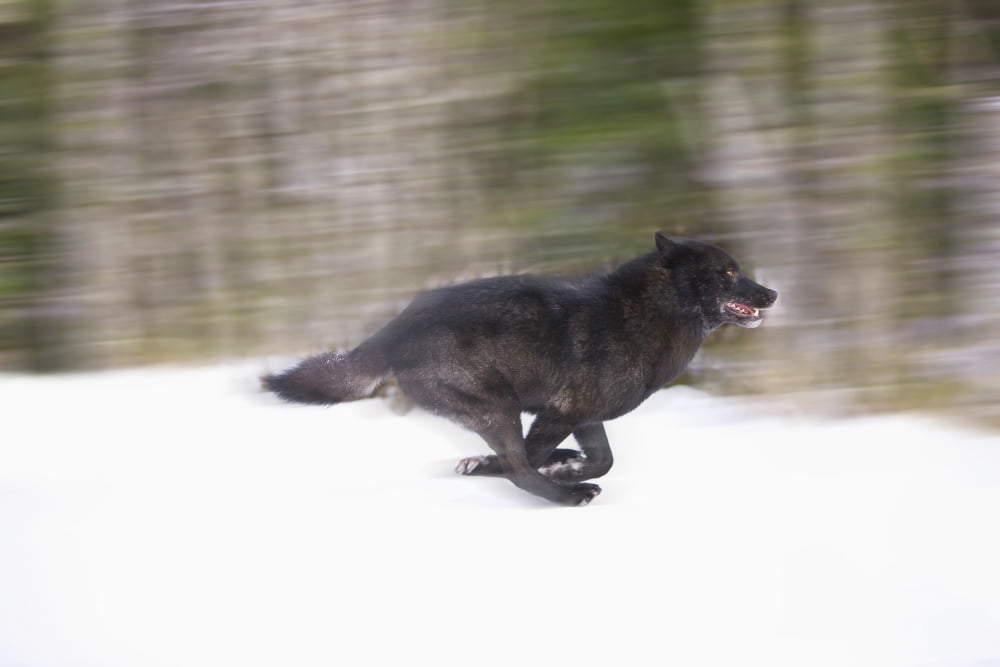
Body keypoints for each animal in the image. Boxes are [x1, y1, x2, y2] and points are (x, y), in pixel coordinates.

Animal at [264, 232, 777, 506]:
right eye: (728, 273)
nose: (771, 293)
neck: (649, 313)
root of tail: (396, 326)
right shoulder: (561, 412)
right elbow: (535, 458)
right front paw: (553, 476)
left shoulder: (582, 415)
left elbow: (604, 459)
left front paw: (567, 467)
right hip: (499, 407)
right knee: (517, 467)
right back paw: (565, 496)